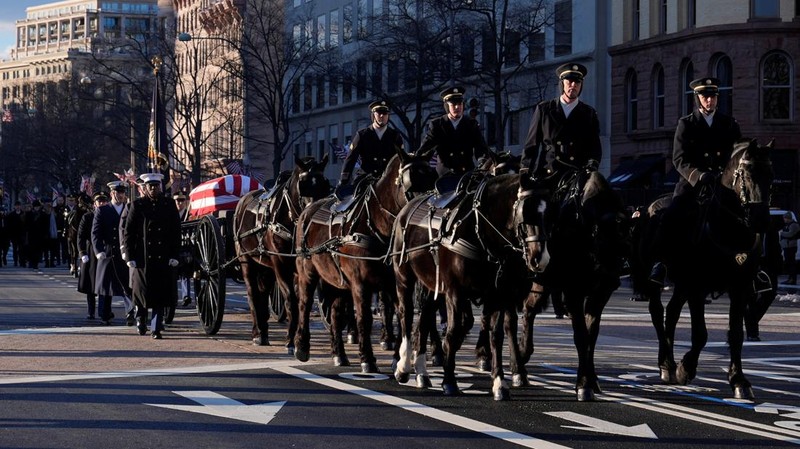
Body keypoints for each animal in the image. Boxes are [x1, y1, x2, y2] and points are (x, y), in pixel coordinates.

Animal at [231, 156, 332, 348]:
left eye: (325, 184)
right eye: (303, 184)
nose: (314, 213)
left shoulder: (298, 267)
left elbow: (301, 299)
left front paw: (299, 337)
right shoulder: (281, 265)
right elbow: (291, 299)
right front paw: (291, 339)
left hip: (265, 265)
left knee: (263, 292)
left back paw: (263, 332)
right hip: (247, 260)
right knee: (252, 293)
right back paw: (257, 332)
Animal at [296, 147, 438, 372]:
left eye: (433, 177)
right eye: (411, 182)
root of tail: (307, 211)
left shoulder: (392, 284)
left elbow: (400, 315)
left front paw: (397, 358)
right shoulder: (360, 283)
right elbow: (365, 317)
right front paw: (367, 359)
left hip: (337, 281)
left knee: (336, 313)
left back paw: (339, 354)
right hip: (307, 272)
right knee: (305, 303)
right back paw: (301, 346)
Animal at [390, 172, 552, 400]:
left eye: (549, 214)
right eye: (524, 212)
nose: (541, 258)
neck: (480, 231)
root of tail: (407, 207)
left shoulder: (498, 295)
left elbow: (496, 336)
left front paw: (499, 382)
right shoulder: (455, 292)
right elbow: (452, 332)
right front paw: (449, 381)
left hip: (431, 285)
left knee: (424, 319)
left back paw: (421, 372)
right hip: (404, 277)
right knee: (405, 314)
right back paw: (403, 367)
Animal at [520, 166, 632, 400]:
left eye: (626, 244)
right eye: (602, 243)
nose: (612, 276)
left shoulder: (599, 295)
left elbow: (591, 336)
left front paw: (592, 378)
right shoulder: (573, 292)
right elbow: (581, 336)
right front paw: (583, 384)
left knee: (529, 309)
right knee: (525, 310)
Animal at [632, 138, 776, 398]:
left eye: (770, 174)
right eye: (747, 173)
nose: (760, 220)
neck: (729, 230)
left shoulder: (739, 288)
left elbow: (736, 333)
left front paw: (739, 381)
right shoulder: (698, 287)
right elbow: (700, 334)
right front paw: (686, 368)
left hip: (681, 283)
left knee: (672, 313)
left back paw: (669, 363)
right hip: (656, 278)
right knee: (657, 312)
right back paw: (666, 364)